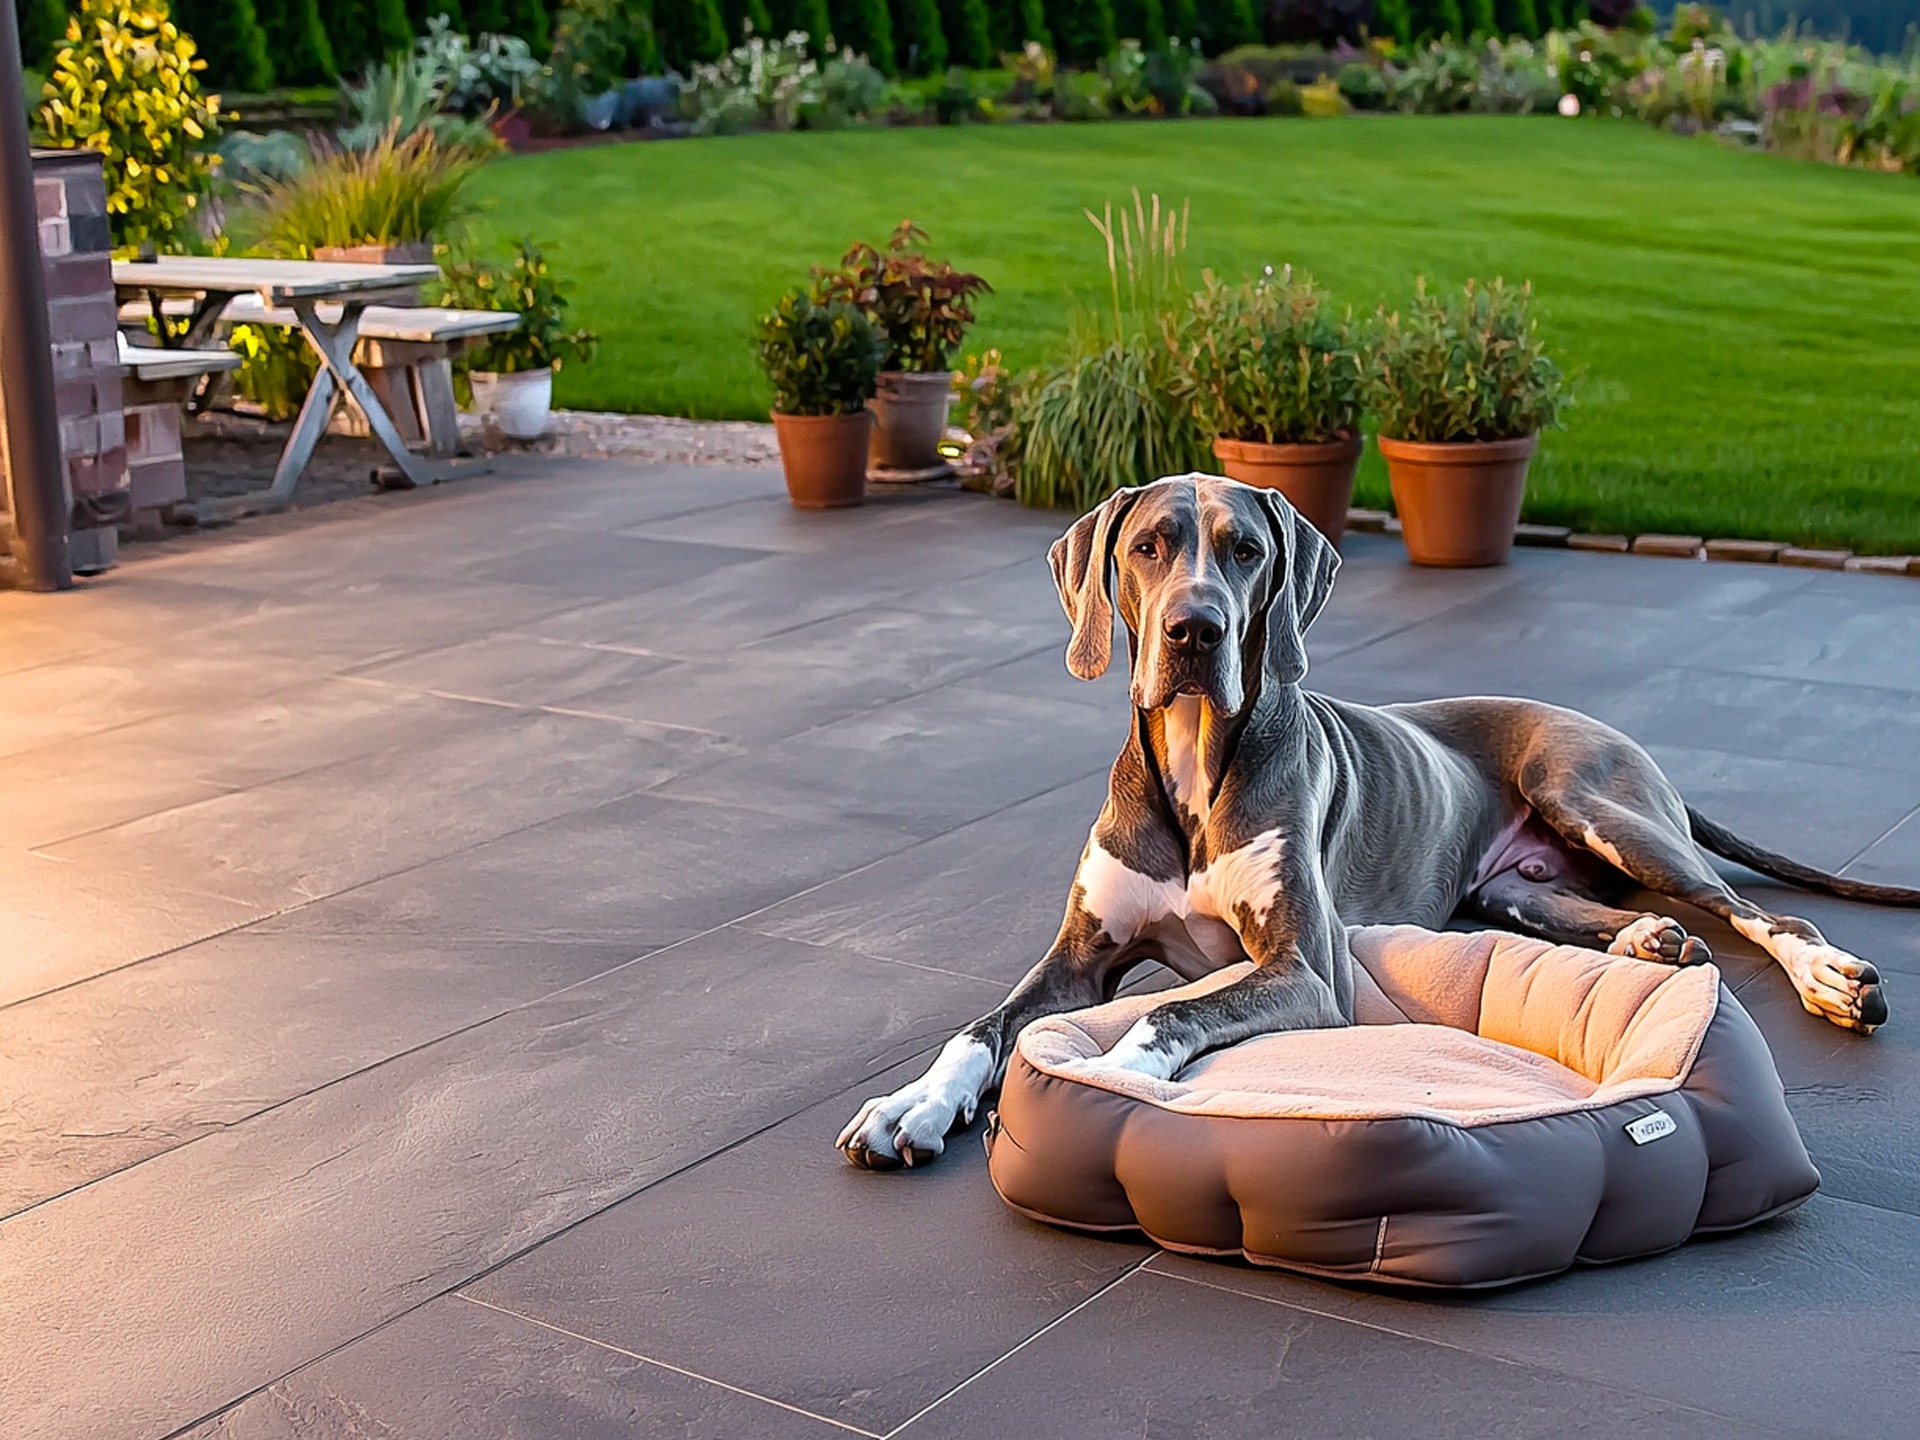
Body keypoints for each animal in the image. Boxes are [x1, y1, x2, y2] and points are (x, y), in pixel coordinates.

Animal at [833, 474, 1912, 1175]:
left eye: (1246, 551)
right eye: (1147, 548)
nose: (1195, 630)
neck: (1192, 769)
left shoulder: (1307, 971)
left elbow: (1170, 1011)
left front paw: (1121, 1077)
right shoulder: (1077, 958)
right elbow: (982, 1028)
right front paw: (913, 1103)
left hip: (1594, 799)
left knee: (1758, 912)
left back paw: (1827, 977)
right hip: (1513, 889)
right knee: (1601, 910)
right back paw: (1651, 938)